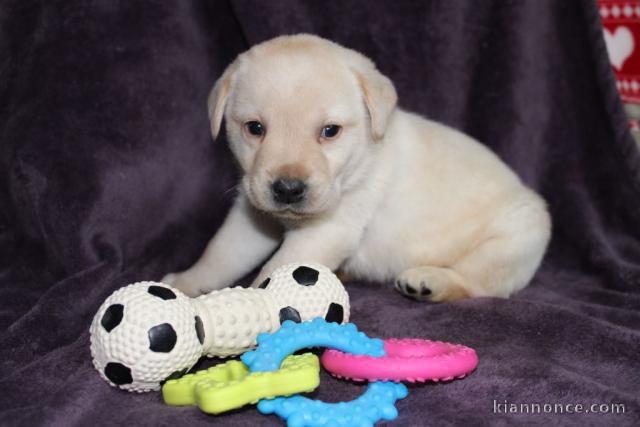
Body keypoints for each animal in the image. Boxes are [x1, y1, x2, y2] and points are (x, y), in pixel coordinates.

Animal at [164, 35, 552, 302]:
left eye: (330, 131)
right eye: (255, 128)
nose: (288, 189)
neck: (360, 158)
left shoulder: (329, 229)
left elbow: (276, 269)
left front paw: (259, 306)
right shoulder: (251, 217)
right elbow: (220, 253)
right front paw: (186, 282)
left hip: (516, 239)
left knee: (477, 283)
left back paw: (430, 282)